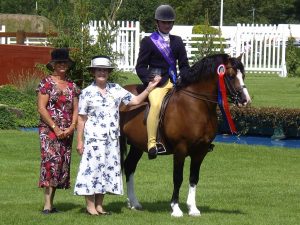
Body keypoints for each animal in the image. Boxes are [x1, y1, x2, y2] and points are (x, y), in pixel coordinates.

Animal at [119, 53, 251, 217]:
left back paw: (133, 203)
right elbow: (178, 178)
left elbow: (194, 177)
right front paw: (175, 208)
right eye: (231, 76)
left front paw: (192, 208)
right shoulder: (180, 149)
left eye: (243, 75)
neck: (196, 106)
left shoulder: (201, 150)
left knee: (129, 166)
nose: (245, 100)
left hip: (137, 145)